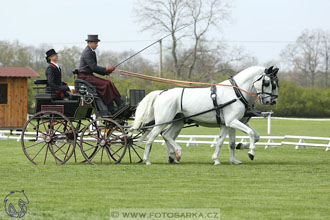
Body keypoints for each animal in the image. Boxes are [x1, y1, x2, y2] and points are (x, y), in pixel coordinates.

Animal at [131, 65, 278, 165]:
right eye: (267, 83)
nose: (272, 101)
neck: (236, 93)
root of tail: (161, 93)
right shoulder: (232, 121)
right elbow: (251, 134)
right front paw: (251, 152)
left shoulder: (229, 123)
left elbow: (227, 142)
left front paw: (229, 157)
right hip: (163, 121)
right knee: (152, 137)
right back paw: (148, 159)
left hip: (177, 122)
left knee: (167, 135)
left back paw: (175, 155)